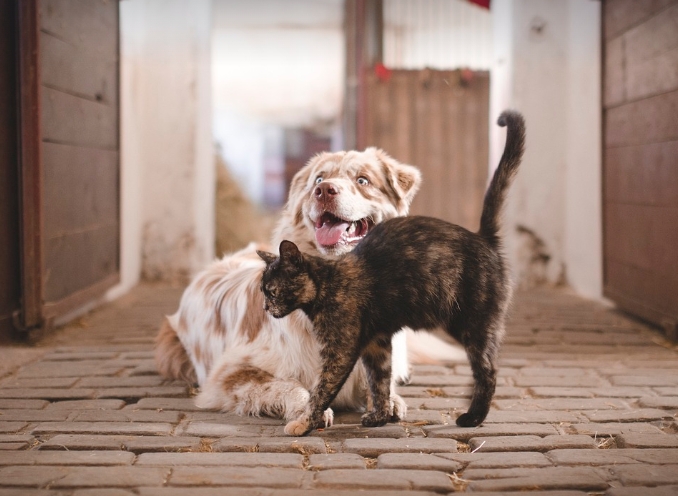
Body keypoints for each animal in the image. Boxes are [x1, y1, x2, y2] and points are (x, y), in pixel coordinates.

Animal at [155, 147, 468, 422]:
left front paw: (388, 400)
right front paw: (308, 411)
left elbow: (378, 380)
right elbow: (291, 386)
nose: (325, 190)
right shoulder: (230, 374)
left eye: (363, 180)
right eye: (318, 179)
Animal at [258, 109, 528, 434]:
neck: (328, 282)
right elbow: (379, 382)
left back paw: (472, 417)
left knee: (488, 371)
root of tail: (482, 238)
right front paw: (380, 415)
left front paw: (304, 423)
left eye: (272, 291)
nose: (265, 307)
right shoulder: (377, 343)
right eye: (262, 291)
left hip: (473, 325)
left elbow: (321, 390)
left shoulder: (340, 350)